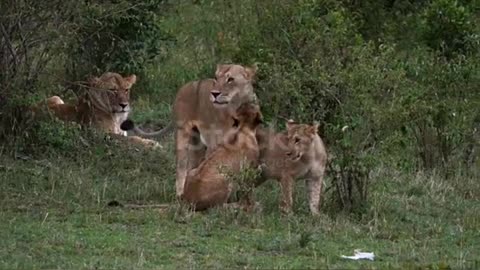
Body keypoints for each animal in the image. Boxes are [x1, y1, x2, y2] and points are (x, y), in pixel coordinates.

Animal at [122, 65, 260, 196]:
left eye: (230, 79)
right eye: (216, 78)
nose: (214, 94)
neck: (236, 110)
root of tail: (185, 86)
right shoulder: (215, 146)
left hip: (197, 143)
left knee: (193, 167)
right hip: (182, 134)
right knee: (181, 168)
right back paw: (180, 193)